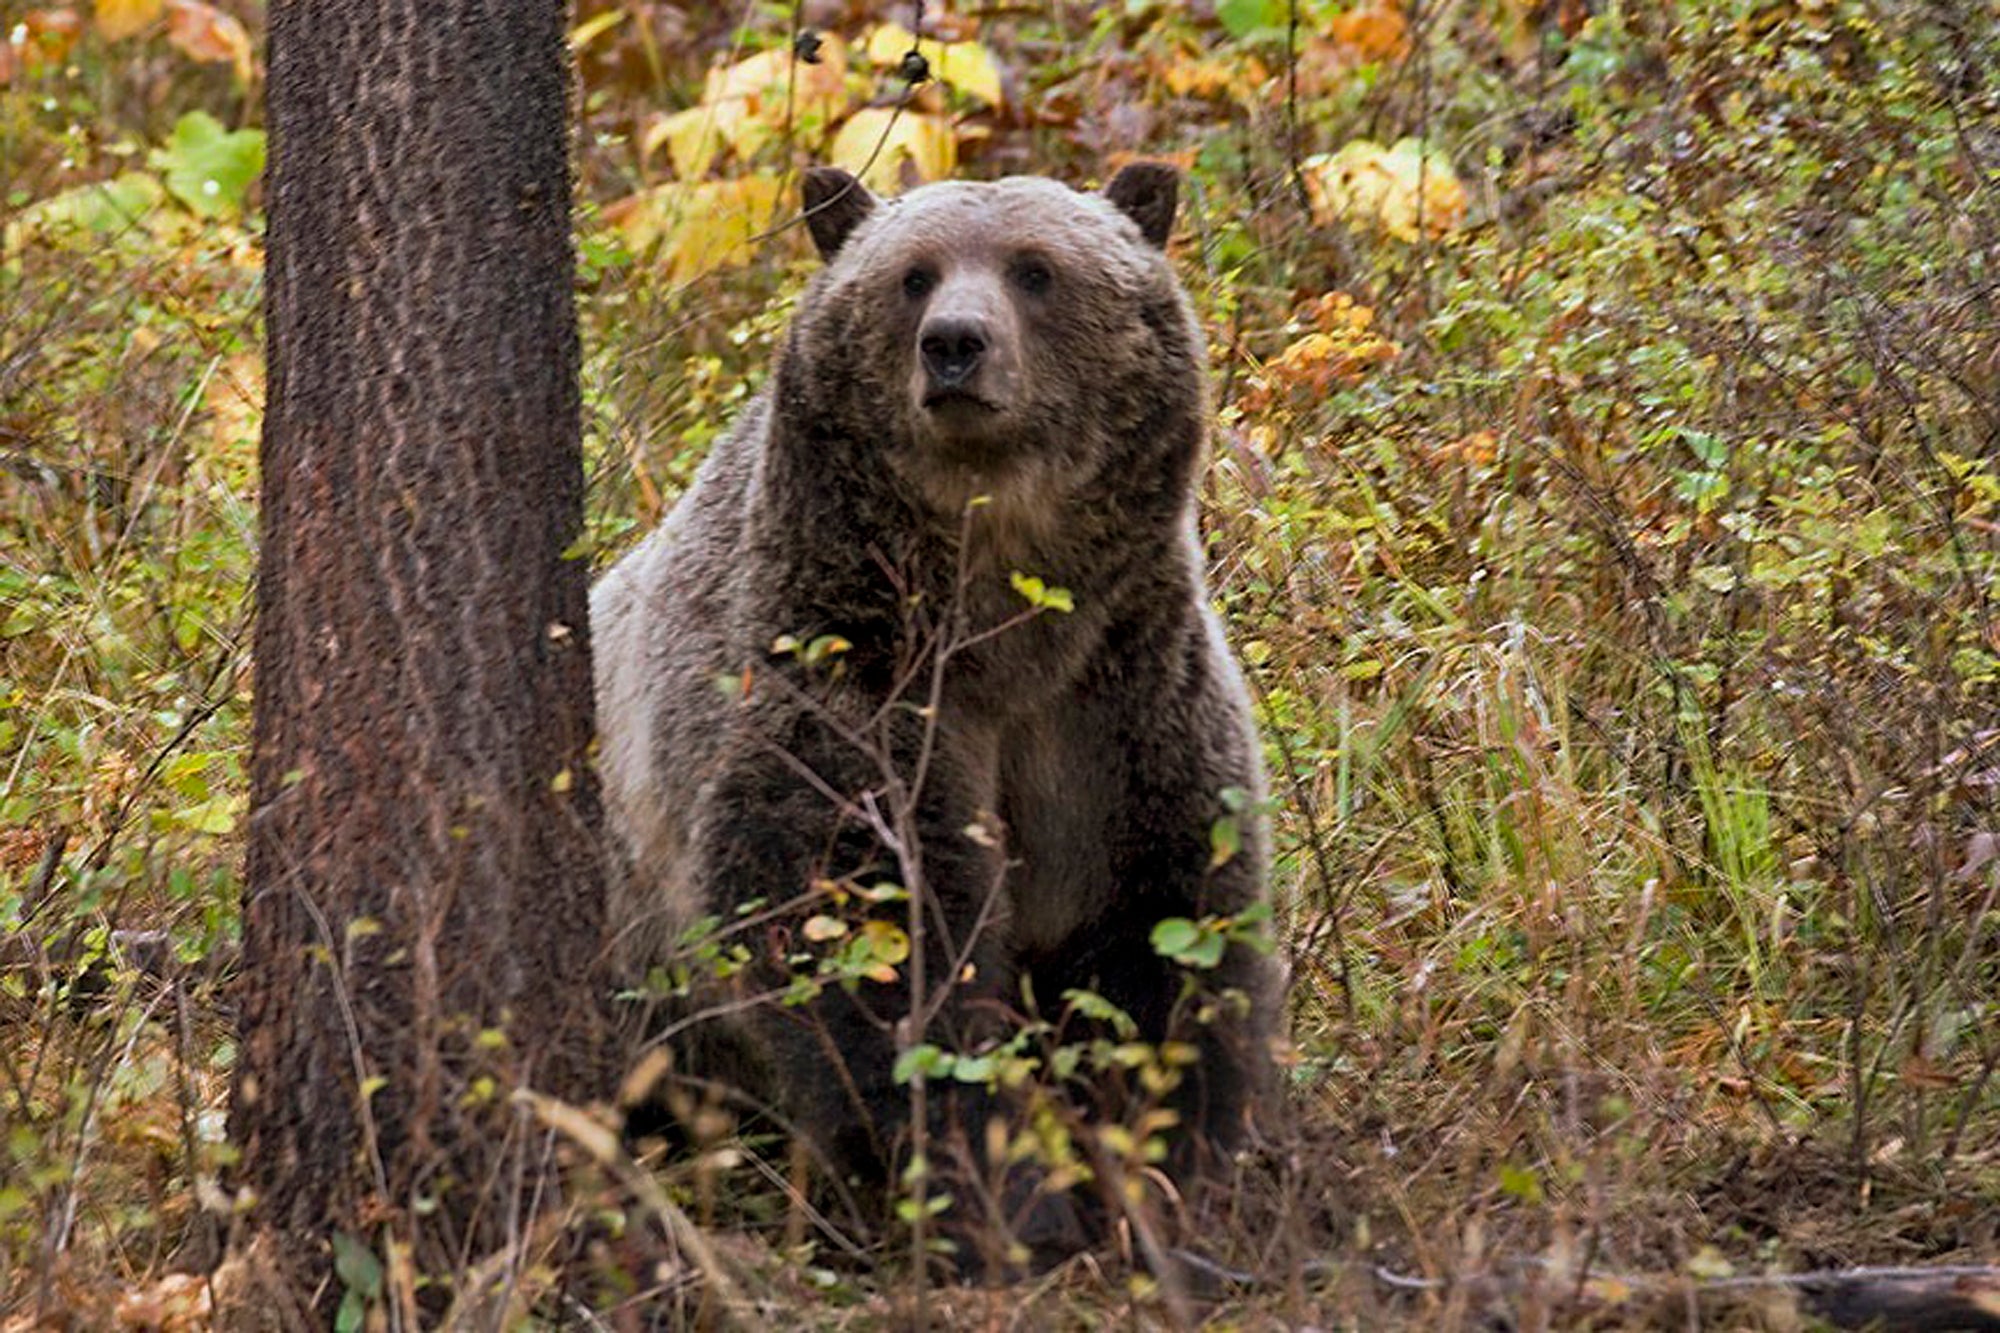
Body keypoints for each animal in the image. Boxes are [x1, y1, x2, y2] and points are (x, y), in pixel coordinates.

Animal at [590, 162, 1274, 1257]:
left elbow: (1162, 927)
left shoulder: (1118, 702)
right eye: (912, 274)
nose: (954, 342)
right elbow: (873, 939)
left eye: (1035, 269)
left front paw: (1166, 1163)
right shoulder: (847, 680)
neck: (1002, 618)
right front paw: (994, 1192)